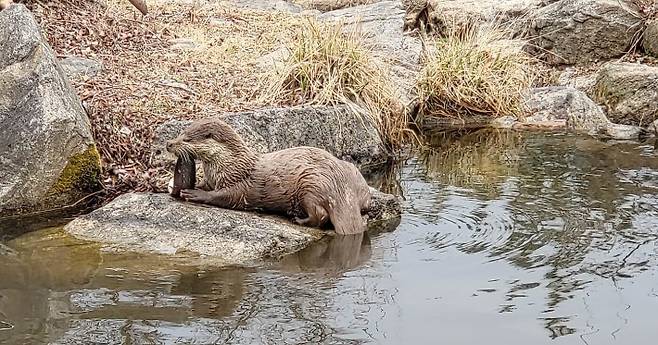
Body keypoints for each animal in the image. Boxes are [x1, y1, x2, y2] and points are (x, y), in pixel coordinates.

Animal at [164, 117, 368, 234]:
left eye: (187, 139)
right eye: (180, 133)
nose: (169, 143)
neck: (229, 164)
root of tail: (341, 186)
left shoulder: (240, 181)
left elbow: (226, 196)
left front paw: (195, 193)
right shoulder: (214, 178)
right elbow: (206, 185)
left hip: (311, 184)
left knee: (321, 215)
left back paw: (298, 219)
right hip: (353, 174)